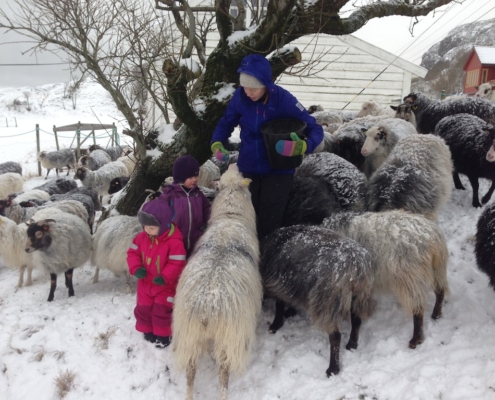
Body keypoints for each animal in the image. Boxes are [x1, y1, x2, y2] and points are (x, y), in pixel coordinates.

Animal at [262, 227, 374, 376]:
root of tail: (355, 267)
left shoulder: (276, 283)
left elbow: (279, 305)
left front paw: (275, 325)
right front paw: (290, 312)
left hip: (328, 302)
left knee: (335, 336)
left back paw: (333, 369)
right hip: (360, 296)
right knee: (356, 321)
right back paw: (352, 345)